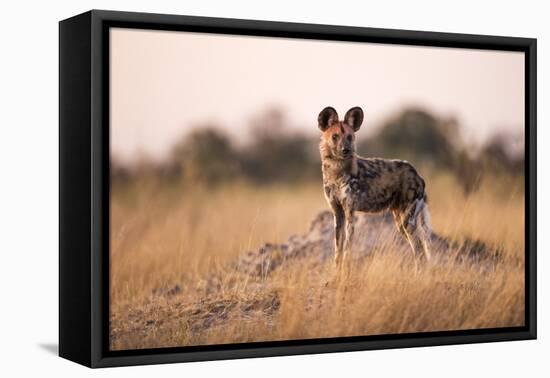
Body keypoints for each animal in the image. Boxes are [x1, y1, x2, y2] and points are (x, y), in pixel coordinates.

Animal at [320, 105, 436, 266]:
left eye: (350, 137)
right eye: (335, 136)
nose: (346, 150)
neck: (336, 172)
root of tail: (418, 174)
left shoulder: (350, 213)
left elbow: (347, 253)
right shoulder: (338, 214)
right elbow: (338, 254)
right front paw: (336, 273)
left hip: (407, 221)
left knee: (420, 252)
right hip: (400, 222)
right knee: (421, 252)